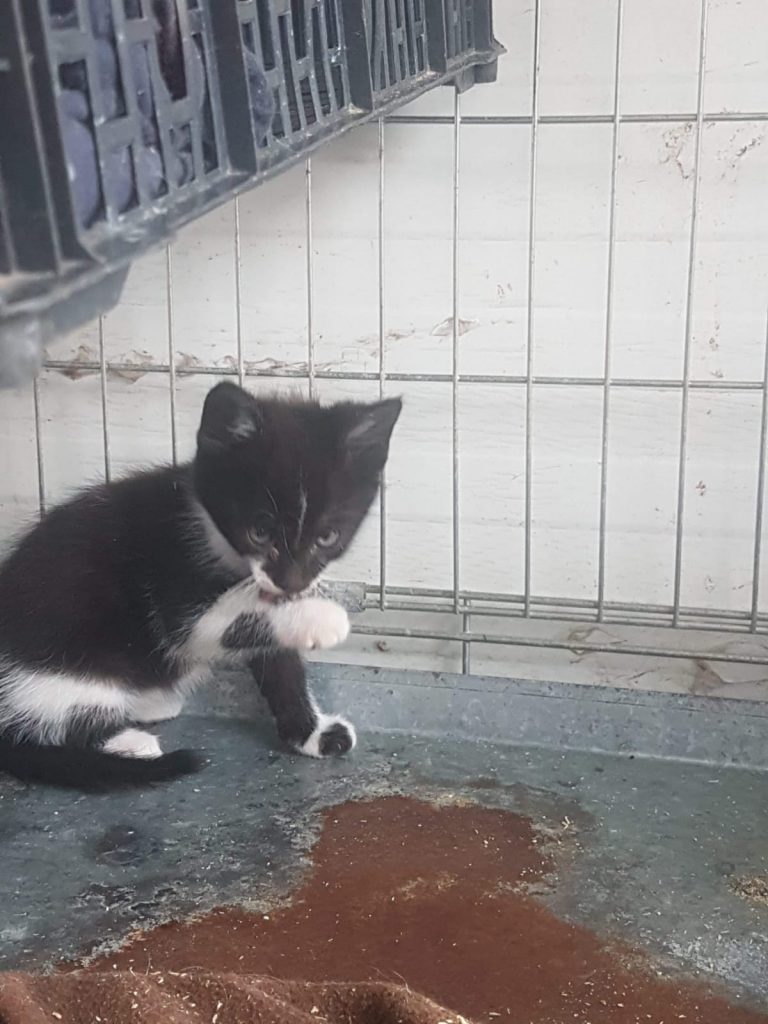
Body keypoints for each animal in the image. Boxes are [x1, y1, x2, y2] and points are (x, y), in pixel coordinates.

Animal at [0, 381, 401, 790]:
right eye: (259, 532)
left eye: (328, 537)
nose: (291, 582)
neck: (213, 534)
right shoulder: (176, 587)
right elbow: (237, 618)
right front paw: (324, 619)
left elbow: (280, 663)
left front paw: (310, 733)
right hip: (77, 661)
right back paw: (129, 742)